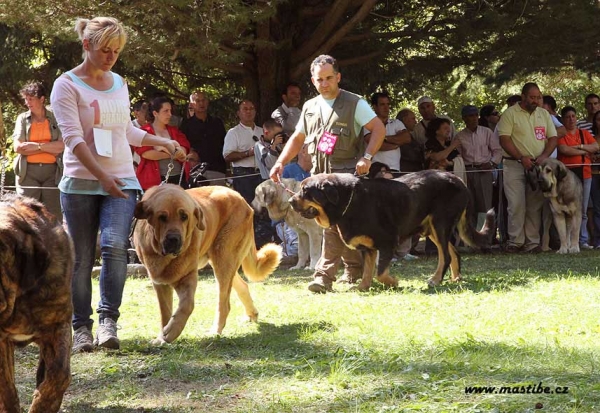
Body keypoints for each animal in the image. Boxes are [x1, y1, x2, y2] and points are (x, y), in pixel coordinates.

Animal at [133, 184, 282, 342]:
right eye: (162, 217)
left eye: (184, 216)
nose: (174, 239)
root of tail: (240, 197)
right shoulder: (159, 283)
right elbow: (165, 312)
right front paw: (162, 337)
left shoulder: (187, 277)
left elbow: (186, 306)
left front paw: (171, 332)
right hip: (224, 262)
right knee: (242, 285)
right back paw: (251, 314)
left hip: (223, 258)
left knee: (224, 303)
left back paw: (215, 330)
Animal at [290, 171, 492, 290]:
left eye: (305, 191)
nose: (291, 201)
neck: (348, 202)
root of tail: (458, 179)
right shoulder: (368, 248)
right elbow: (368, 270)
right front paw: (362, 287)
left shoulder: (387, 243)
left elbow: (380, 273)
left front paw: (393, 282)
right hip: (432, 229)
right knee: (454, 252)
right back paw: (455, 278)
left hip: (440, 224)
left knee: (446, 255)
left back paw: (435, 280)